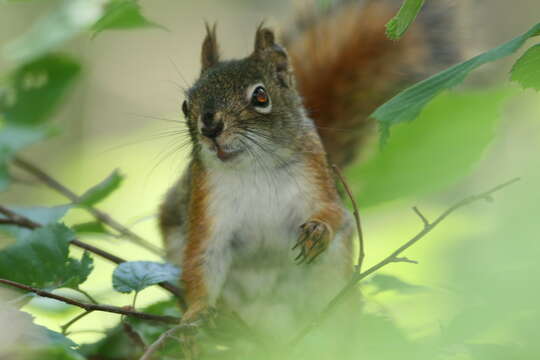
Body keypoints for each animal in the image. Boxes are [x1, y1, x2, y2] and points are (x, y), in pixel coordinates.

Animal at [158, 0, 458, 348]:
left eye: (261, 96)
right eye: (185, 104)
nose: (209, 126)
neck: (254, 168)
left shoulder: (317, 177)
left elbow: (334, 212)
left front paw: (318, 231)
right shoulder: (205, 204)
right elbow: (201, 259)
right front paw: (195, 315)